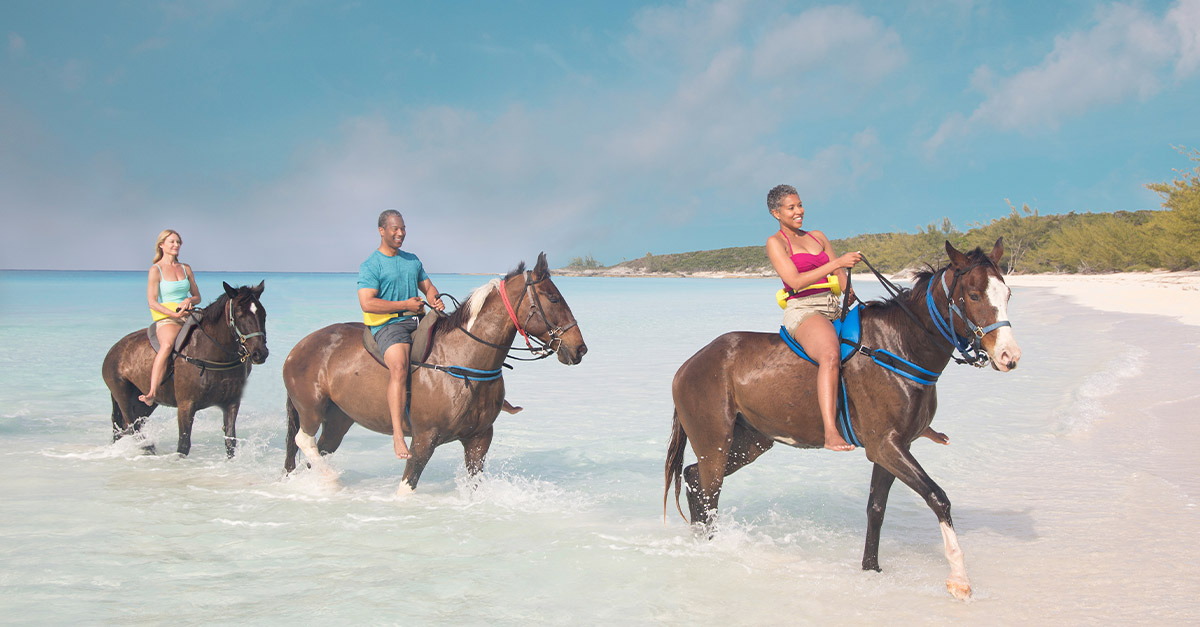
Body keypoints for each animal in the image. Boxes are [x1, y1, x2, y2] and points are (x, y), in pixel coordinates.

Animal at [102, 282, 269, 457]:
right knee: (131, 429)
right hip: (124, 397)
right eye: (239, 314)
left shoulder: (231, 403)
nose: (260, 353)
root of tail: (113, 350)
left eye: (263, 314)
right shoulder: (186, 406)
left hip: (144, 403)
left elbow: (230, 443)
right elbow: (183, 445)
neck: (213, 354)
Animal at [282, 253, 587, 494]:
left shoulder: (479, 439)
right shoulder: (423, 440)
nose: (580, 349)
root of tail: (297, 349)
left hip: (339, 417)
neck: (463, 363)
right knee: (303, 440)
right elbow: (406, 489)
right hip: (311, 408)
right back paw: (332, 481)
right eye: (553, 298)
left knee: (320, 449)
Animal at [663, 240, 1021, 600]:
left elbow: (876, 509)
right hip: (715, 443)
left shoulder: (893, 448)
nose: (1009, 356)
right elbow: (938, 498)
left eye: (1007, 294)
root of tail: (687, 366)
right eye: (973, 295)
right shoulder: (886, 446)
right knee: (709, 490)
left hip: (750, 442)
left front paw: (871, 569)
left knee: (694, 479)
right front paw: (959, 579)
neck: (901, 346)